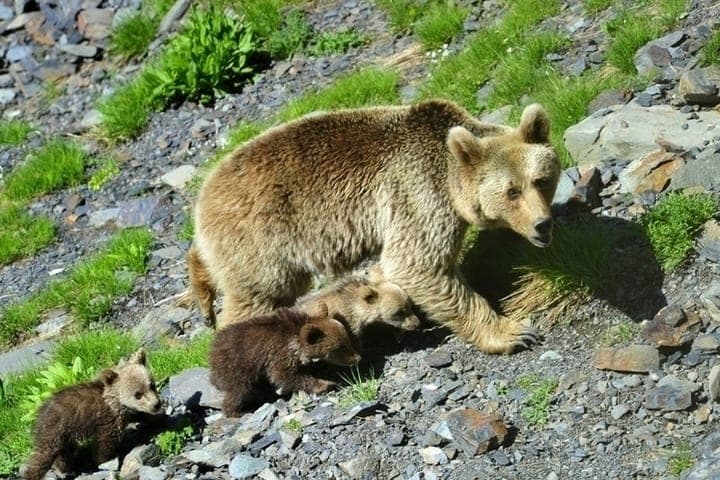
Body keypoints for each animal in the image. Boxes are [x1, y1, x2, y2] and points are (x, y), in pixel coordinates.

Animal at [23, 349, 162, 480]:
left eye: (152, 385)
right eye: (137, 394)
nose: (156, 404)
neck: (116, 402)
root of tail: (39, 412)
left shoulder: (127, 412)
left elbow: (141, 414)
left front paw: (158, 417)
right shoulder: (108, 420)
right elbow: (104, 443)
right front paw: (103, 460)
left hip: (65, 436)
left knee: (64, 453)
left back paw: (65, 469)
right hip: (54, 430)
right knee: (43, 455)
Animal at [189, 99, 560, 354]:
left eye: (541, 181)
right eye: (512, 191)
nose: (543, 224)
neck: (451, 180)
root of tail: (202, 198)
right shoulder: (418, 192)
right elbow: (417, 263)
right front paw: (513, 332)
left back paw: (202, 290)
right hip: (262, 241)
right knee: (260, 295)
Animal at [209, 303, 360, 417]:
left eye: (348, 341)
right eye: (342, 347)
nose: (358, 358)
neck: (294, 342)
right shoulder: (278, 354)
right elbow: (284, 375)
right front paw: (325, 384)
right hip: (236, 367)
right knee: (238, 390)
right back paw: (237, 411)